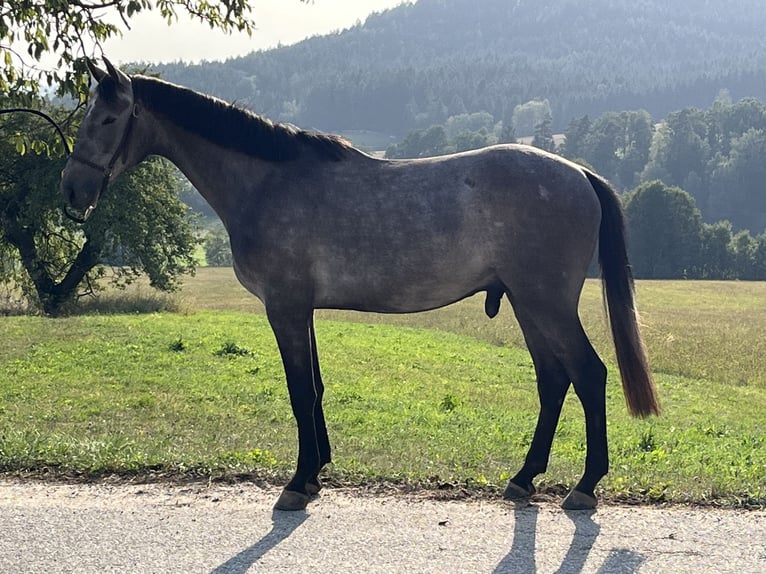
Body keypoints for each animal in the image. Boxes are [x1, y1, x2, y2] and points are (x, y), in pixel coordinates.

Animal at [60, 59, 660, 512]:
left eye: (108, 118)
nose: (72, 191)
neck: (267, 181)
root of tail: (579, 174)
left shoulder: (284, 307)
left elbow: (300, 390)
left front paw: (298, 482)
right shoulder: (301, 309)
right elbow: (316, 388)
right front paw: (317, 471)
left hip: (545, 302)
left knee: (588, 375)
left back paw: (585, 486)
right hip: (528, 304)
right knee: (554, 381)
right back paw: (524, 477)